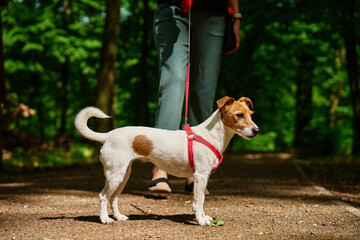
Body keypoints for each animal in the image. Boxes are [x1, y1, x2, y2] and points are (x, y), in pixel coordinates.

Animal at [74, 95, 258, 225]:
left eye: (250, 114)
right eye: (239, 115)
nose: (256, 130)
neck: (210, 135)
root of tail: (107, 136)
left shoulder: (201, 178)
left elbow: (198, 201)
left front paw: (203, 217)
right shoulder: (201, 176)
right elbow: (199, 201)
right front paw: (201, 220)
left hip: (123, 175)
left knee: (113, 198)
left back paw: (118, 217)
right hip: (115, 176)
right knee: (103, 196)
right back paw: (105, 219)